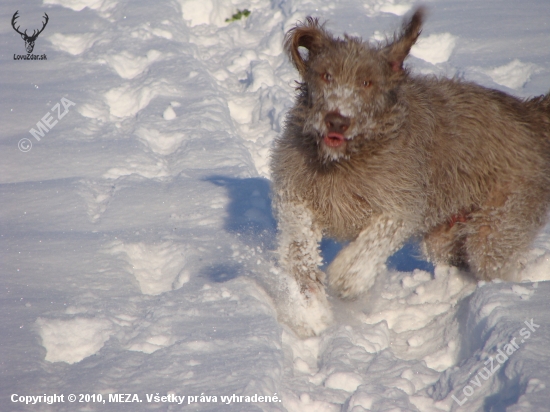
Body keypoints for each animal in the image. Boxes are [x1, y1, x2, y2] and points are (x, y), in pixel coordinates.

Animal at [272, 8, 550, 334]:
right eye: (326, 75)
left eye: (367, 82)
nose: (337, 120)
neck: (345, 159)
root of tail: (530, 115)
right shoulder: (298, 193)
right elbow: (299, 244)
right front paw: (311, 309)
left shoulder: (400, 205)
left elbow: (372, 242)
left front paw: (347, 278)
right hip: (446, 235)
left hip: (500, 222)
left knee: (495, 260)